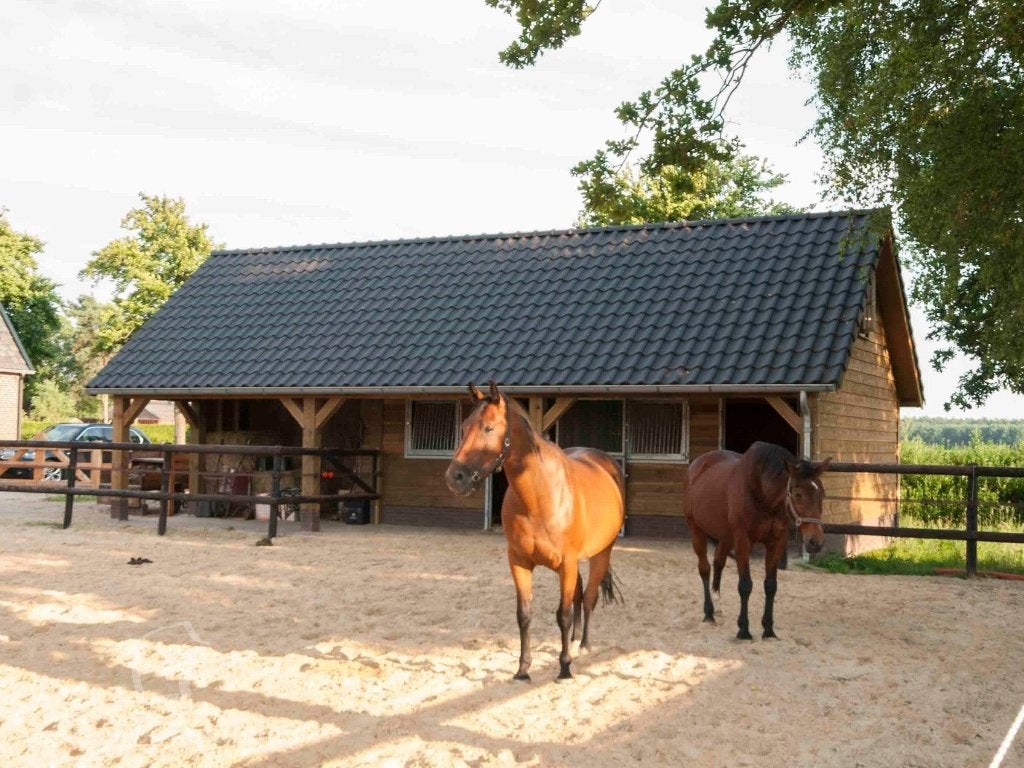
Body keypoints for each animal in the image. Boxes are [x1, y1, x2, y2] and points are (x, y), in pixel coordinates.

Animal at [445, 381, 625, 681]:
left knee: (589, 597)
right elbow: (524, 615)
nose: (454, 478)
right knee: (579, 596)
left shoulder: (566, 564)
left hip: (601, 554)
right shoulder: (519, 562)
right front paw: (523, 669)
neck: (540, 498)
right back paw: (574, 641)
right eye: (464, 427)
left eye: (489, 428)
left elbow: (562, 615)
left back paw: (584, 645)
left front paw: (564, 668)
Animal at [685, 441, 830, 640]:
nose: (815, 542)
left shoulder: (776, 541)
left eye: (822, 493)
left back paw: (718, 607)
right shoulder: (743, 541)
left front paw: (768, 630)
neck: (762, 494)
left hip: (725, 537)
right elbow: (745, 585)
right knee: (705, 569)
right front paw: (743, 630)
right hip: (697, 530)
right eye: (798, 494)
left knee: (718, 562)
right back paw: (708, 613)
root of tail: (697, 464)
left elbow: (770, 585)